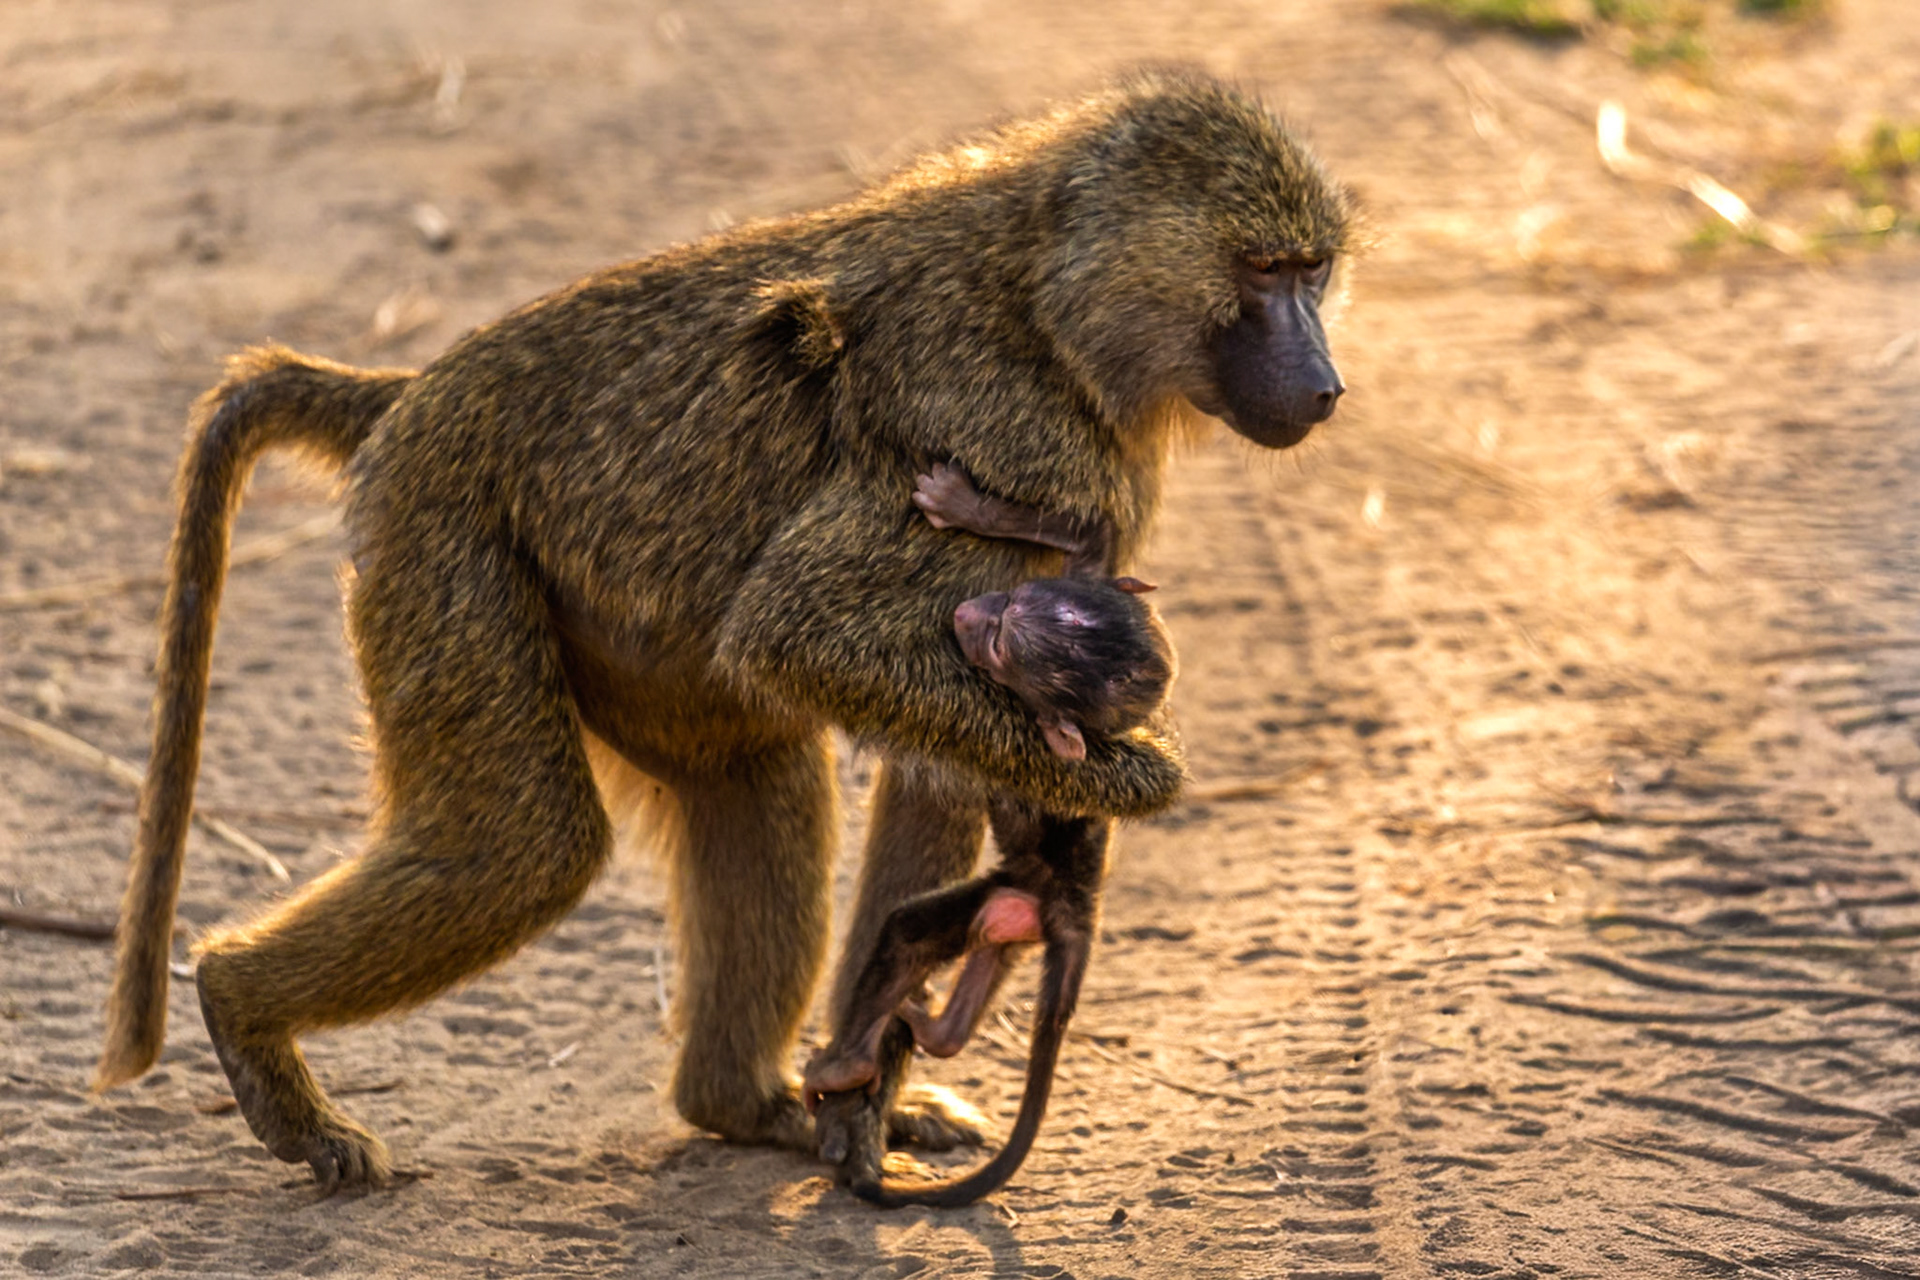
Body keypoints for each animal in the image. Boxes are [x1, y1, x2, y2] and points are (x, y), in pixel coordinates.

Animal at [93, 67, 1353, 1192]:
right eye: (1262, 270)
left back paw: (746, 1102)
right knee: (525, 847)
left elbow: (930, 760)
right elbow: (802, 630)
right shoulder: (1004, 424)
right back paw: (244, 1016)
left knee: (758, 778)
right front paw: (1137, 777)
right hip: (440, 528)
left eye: (1314, 269)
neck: (1051, 294)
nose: (1327, 385)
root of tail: (409, 392)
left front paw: (862, 1095)